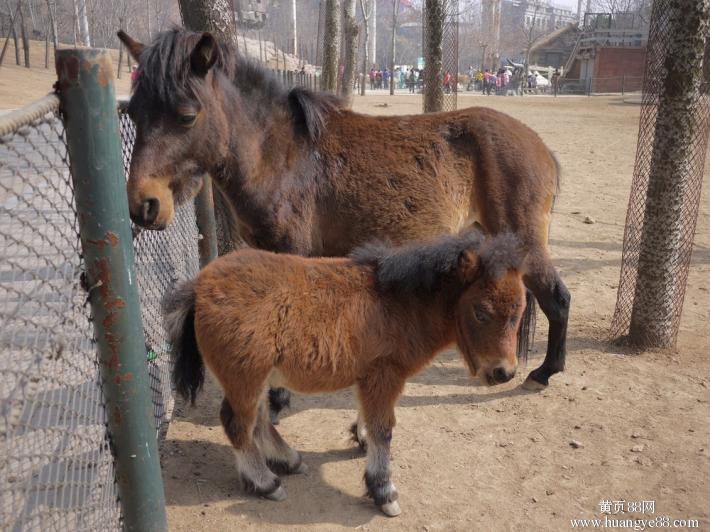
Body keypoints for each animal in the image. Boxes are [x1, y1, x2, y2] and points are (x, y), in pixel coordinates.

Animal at [118, 28, 572, 412]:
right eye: (134, 113)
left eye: (186, 115)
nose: (143, 205)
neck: (283, 157)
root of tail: (539, 147)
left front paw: (278, 398)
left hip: (525, 241)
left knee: (558, 298)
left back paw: (544, 372)